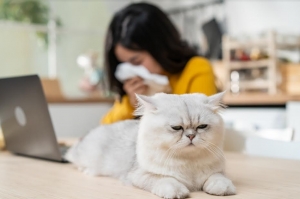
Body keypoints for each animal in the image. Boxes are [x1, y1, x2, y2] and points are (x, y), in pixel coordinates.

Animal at [66, 92, 237, 198]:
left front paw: (222, 189)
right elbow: (164, 179)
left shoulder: (217, 171)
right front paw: (178, 191)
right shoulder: (138, 175)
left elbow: (218, 178)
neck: (188, 163)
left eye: (202, 127)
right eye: (176, 128)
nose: (191, 136)